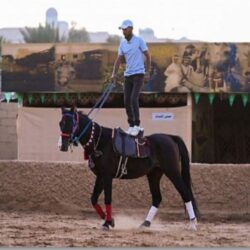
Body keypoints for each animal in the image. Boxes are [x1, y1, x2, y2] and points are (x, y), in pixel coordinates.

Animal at [58, 106, 199, 229]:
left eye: (70, 123)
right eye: (60, 123)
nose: (62, 146)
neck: (100, 141)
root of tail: (170, 137)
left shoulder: (107, 175)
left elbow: (107, 198)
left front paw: (107, 223)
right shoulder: (100, 176)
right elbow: (93, 198)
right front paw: (109, 219)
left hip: (172, 172)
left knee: (185, 193)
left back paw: (192, 223)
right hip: (154, 174)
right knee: (157, 198)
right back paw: (145, 223)